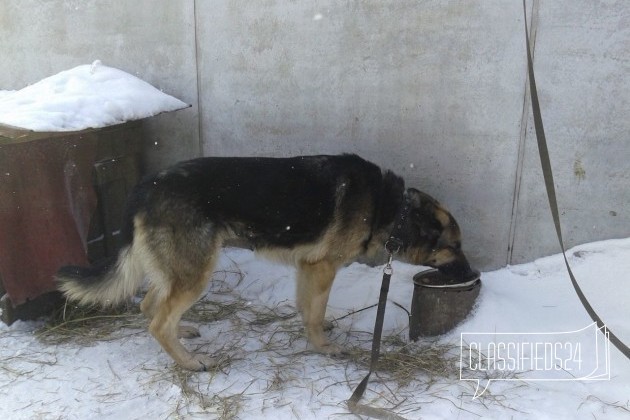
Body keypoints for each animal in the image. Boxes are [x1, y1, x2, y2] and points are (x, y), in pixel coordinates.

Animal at [56, 154, 476, 370]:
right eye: (455, 246)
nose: (473, 273)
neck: (392, 209)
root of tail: (143, 188)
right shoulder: (322, 268)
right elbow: (314, 312)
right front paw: (323, 347)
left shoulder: (308, 269)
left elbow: (309, 309)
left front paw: (316, 335)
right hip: (196, 272)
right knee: (158, 321)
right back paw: (190, 362)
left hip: (179, 270)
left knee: (149, 305)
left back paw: (184, 332)